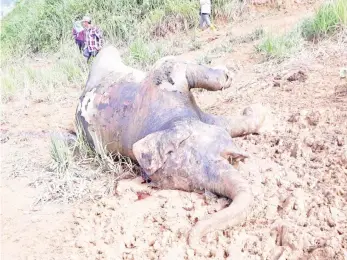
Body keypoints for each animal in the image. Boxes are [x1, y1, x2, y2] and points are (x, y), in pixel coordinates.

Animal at [75, 45, 268, 249]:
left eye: (223, 156)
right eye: (197, 187)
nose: (194, 242)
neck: (165, 121)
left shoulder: (165, 79)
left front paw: (236, 86)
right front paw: (254, 107)